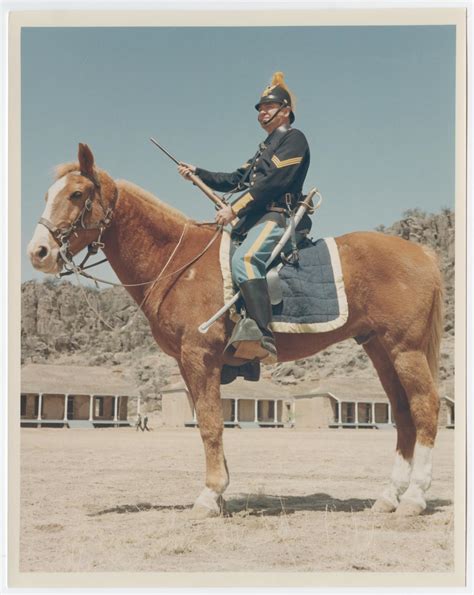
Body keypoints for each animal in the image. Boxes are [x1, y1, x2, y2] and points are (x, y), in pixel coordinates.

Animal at [27, 143, 442, 516]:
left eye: (77, 194)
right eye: (47, 195)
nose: (38, 252)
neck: (178, 262)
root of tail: (421, 252)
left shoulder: (200, 357)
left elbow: (211, 425)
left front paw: (210, 495)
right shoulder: (188, 364)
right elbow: (207, 421)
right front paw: (221, 493)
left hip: (405, 349)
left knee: (426, 407)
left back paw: (414, 498)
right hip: (380, 349)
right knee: (403, 413)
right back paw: (387, 496)